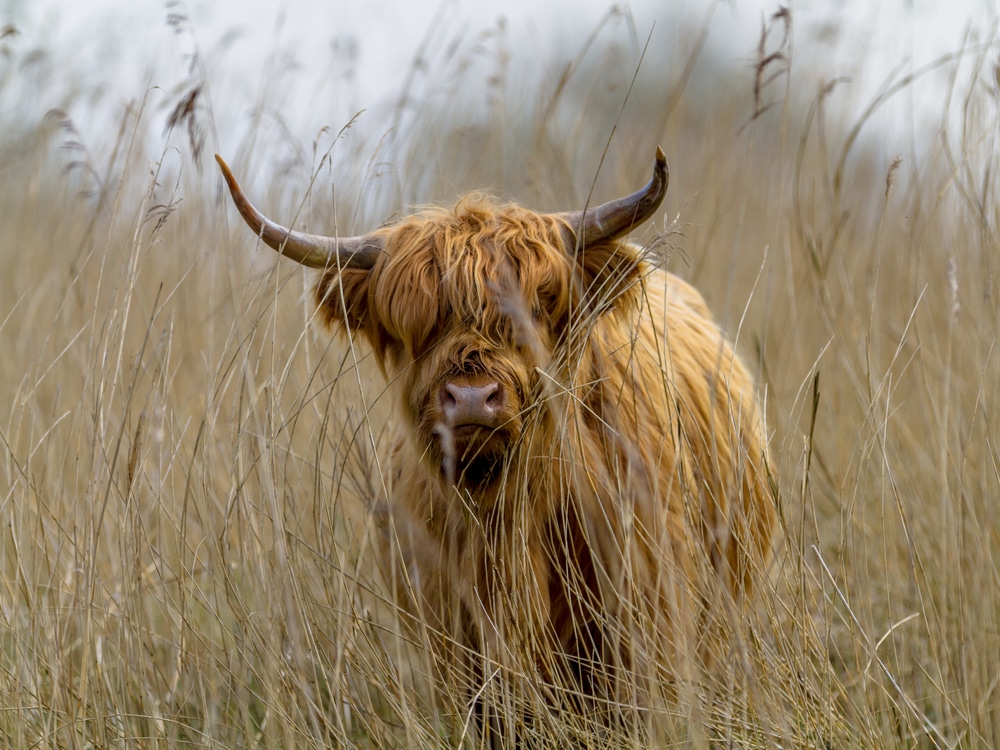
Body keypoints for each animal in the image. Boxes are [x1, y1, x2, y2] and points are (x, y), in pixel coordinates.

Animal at [219, 151, 776, 740]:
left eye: (537, 307)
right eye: (413, 324)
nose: (470, 398)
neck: (510, 521)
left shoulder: (646, 635)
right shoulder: (461, 653)